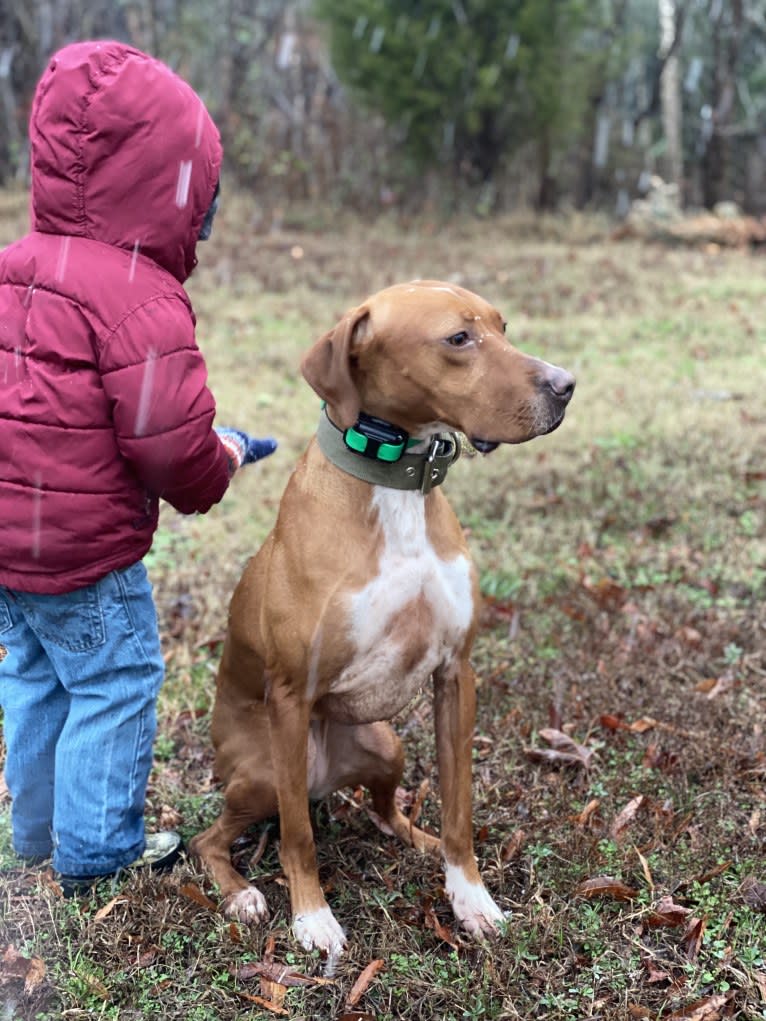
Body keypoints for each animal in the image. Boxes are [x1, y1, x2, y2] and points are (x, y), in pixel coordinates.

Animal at [192, 279, 576, 955]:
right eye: (458, 338)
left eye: (503, 327)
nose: (566, 384)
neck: (397, 485)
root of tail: (324, 781)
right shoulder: (290, 694)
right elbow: (297, 838)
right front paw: (312, 917)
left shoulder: (456, 674)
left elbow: (458, 809)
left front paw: (470, 898)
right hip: (264, 771)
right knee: (214, 837)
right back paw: (241, 893)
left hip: (384, 744)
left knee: (384, 810)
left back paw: (417, 841)